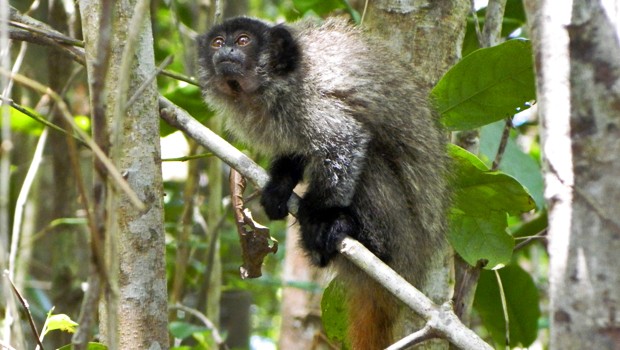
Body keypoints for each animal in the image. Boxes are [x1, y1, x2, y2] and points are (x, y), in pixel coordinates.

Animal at [197, 17, 450, 350]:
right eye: (217, 42)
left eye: (242, 40)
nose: (225, 50)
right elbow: (297, 152)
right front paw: (279, 188)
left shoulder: (309, 102)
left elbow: (345, 141)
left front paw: (316, 218)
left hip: (403, 235)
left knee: (370, 161)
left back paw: (357, 235)